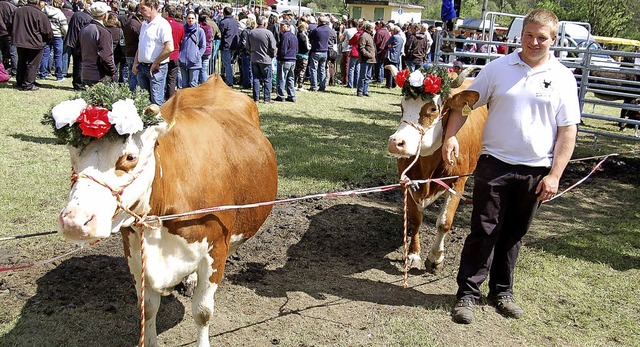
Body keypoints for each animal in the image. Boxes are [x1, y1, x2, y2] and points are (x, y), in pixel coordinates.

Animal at [53, 77, 278, 347]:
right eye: (72, 154)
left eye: (130, 157)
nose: (74, 221)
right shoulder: (134, 251)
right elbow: (148, 307)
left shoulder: (215, 250)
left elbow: (203, 311)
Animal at [388, 66, 488, 274]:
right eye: (402, 105)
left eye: (433, 108)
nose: (396, 142)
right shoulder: (406, 181)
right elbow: (415, 218)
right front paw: (413, 254)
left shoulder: (458, 182)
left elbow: (444, 222)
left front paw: (435, 258)